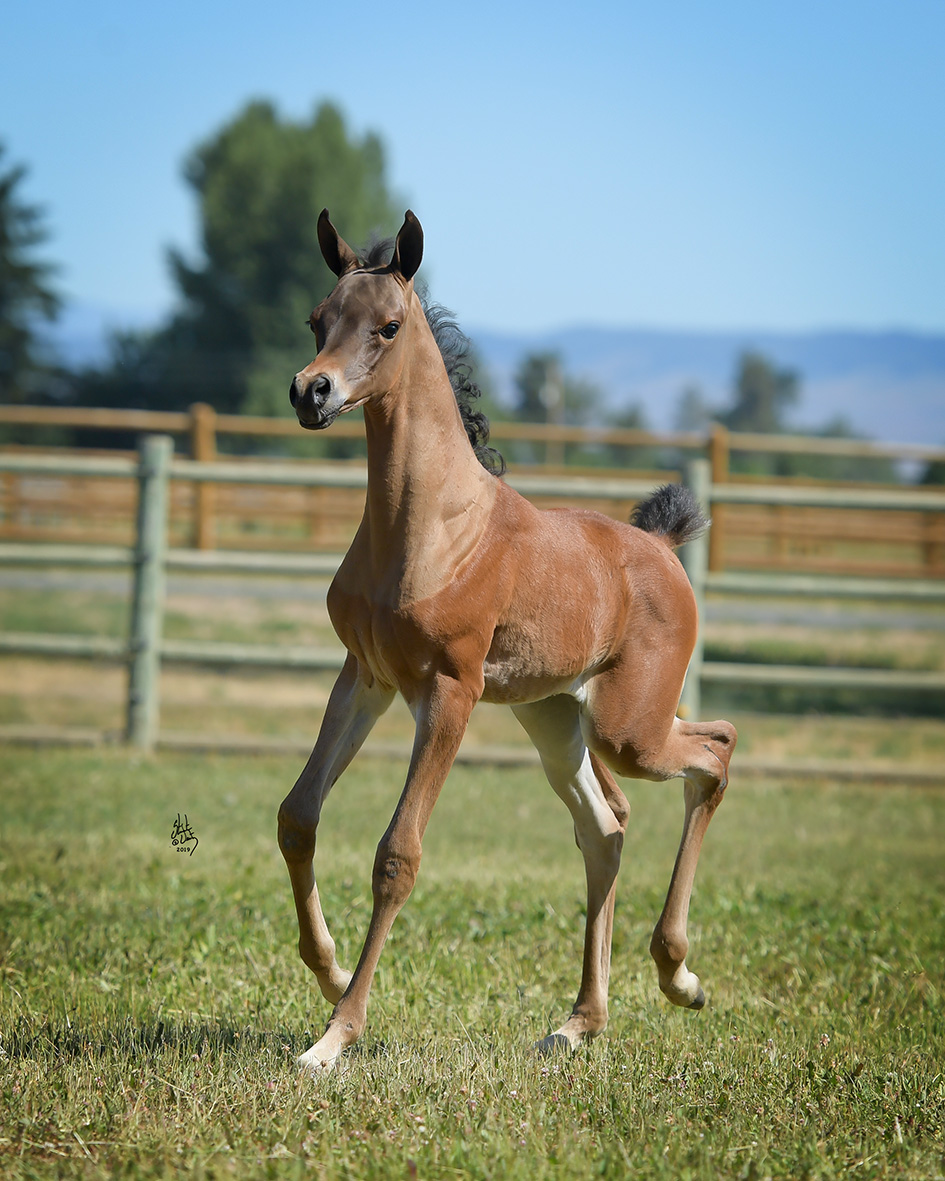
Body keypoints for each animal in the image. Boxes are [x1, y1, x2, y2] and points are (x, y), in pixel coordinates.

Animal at [278, 210, 737, 1074]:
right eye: (319, 319)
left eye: (387, 327)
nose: (310, 391)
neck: (429, 525)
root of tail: (661, 546)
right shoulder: (366, 677)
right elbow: (298, 814)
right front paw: (328, 972)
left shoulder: (448, 692)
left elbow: (397, 854)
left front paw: (335, 1035)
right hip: (554, 719)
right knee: (605, 828)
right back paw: (580, 1021)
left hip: (626, 726)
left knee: (714, 749)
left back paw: (679, 974)